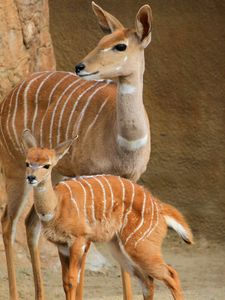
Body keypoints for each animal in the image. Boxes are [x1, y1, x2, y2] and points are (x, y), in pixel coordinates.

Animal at [0, 1, 152, 298]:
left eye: (120, 46)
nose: (80, 66)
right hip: (16, 168)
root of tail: (10, 93)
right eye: (100, 40)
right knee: (8, 224)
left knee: (31, 224)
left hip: (50, 171)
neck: (124, 142)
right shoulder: (89, 179)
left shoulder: (129, 182)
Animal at [22, 131, 192, 300]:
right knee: (147, 280)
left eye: (47, 165)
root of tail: (160, 207)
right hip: (119, 248)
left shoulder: (78, 240)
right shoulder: (62, 246)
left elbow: (72, 281)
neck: (56, 206)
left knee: (171, 274)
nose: (31, 178)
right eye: (27, 163)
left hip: (141, 247)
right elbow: (65, 282)